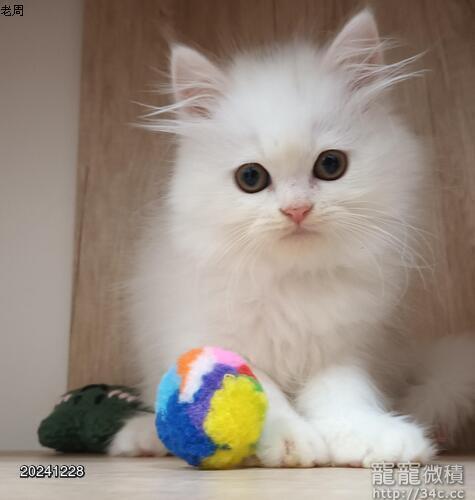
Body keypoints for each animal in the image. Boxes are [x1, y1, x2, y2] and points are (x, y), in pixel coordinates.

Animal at [108, 9, 475, 466]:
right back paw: (141, 437)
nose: (296, 210)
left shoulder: (345, 347)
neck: (292, 283)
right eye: (251, 178)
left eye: (331, 165)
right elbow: (261, 390)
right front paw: (290, 442)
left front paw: (369, 437)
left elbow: (342, 393)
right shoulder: (210, 332)